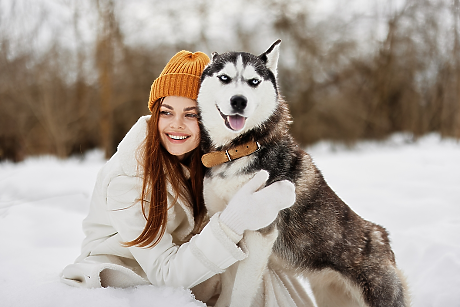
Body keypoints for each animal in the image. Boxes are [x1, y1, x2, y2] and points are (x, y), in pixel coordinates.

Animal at [197, 39, 410, 306]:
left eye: (253, 81)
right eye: (224, 78)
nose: (239, 101)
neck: (237, 150)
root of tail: (382, 237)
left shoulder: (259, 234)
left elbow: (241, 293)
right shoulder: (227, 229)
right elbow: (228, 288)